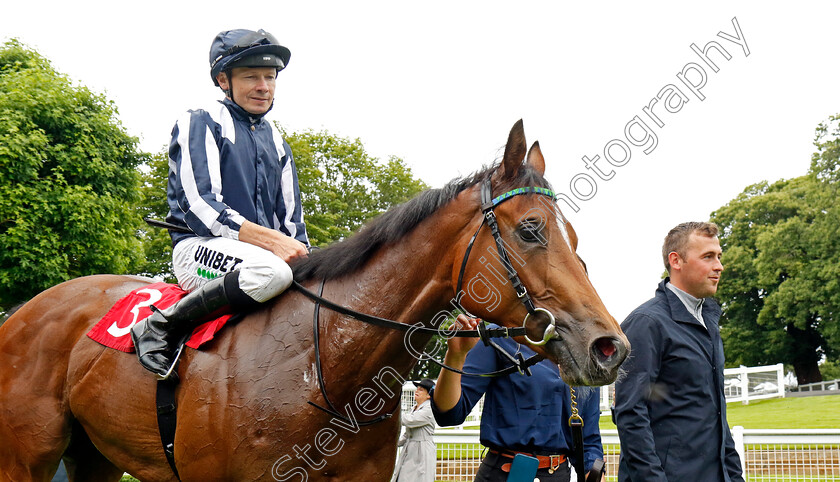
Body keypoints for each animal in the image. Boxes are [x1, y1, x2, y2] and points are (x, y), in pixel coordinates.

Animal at [0, 120, 632, 482]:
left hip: (95, 456)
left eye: (575, 238)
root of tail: (23, 312)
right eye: (530, 230)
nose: (610, 347)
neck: (321, 368)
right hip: (26, 458)